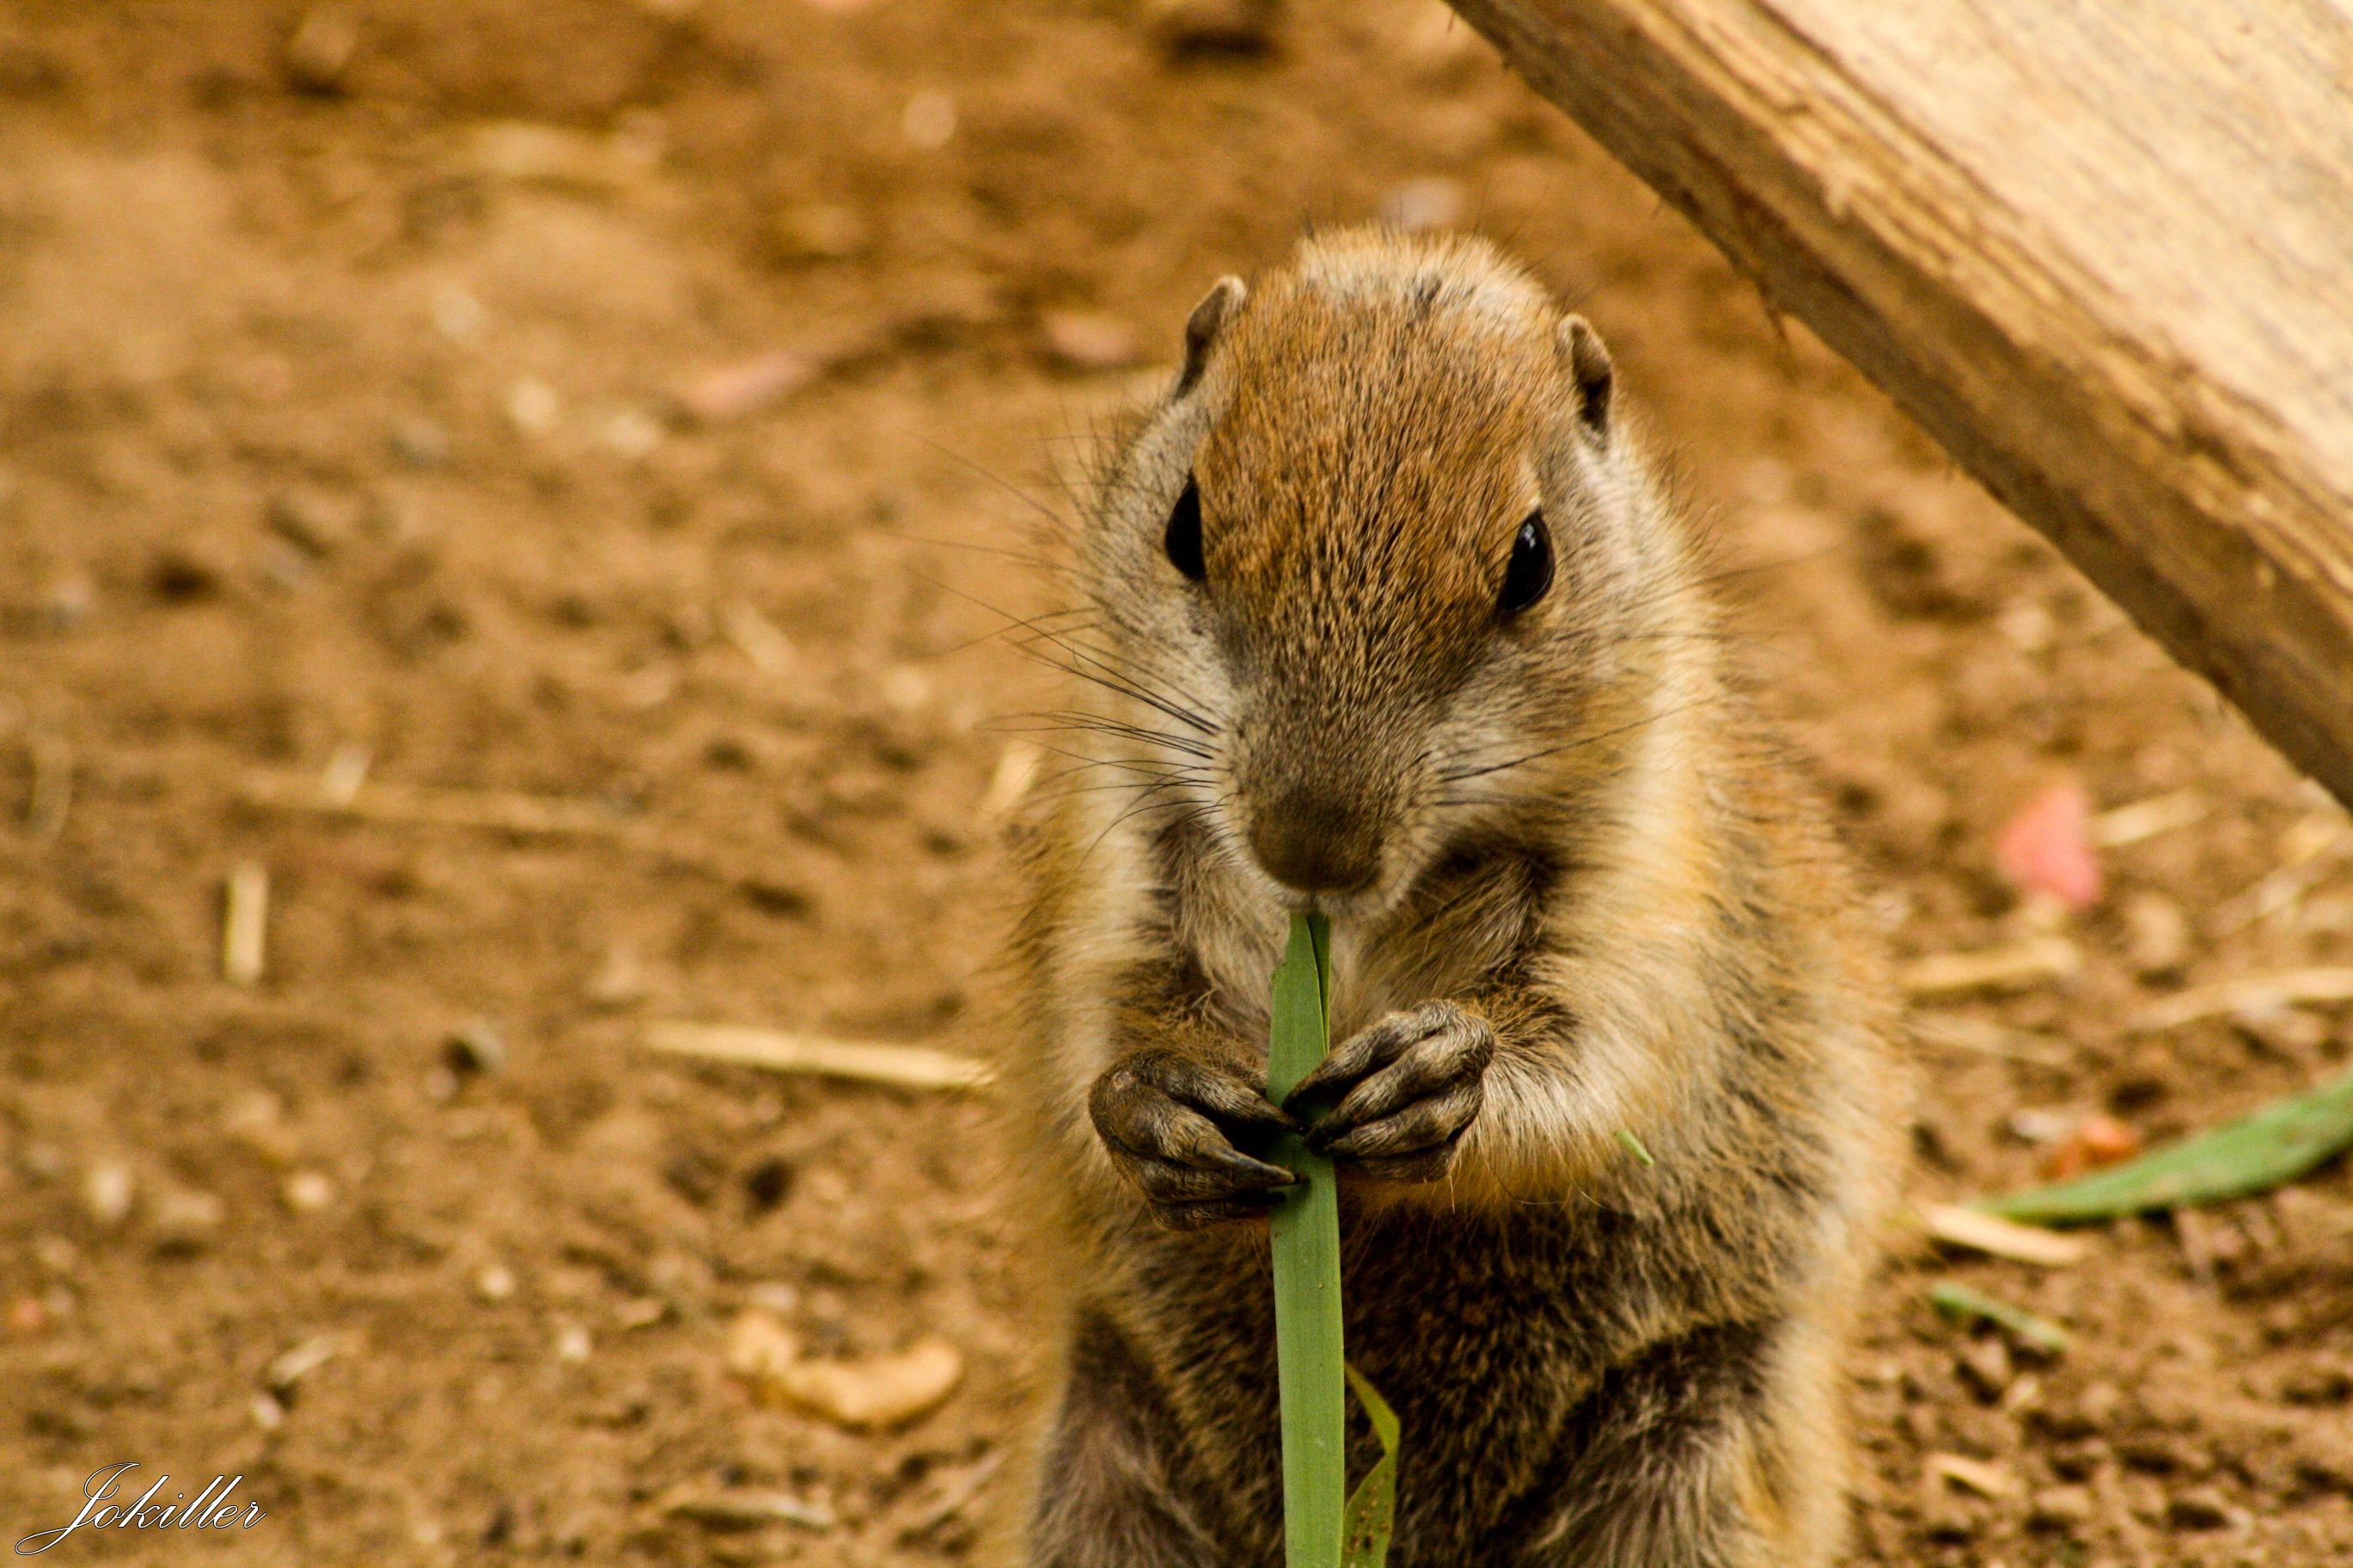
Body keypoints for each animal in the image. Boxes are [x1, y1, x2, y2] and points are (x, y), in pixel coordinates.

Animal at [993, 227, 1892, 1560]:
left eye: (1531, 560)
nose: (1310, 843)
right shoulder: (1108, 869)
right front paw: (1154, 1106)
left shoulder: (1653, 893)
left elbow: (1598, 1062)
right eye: (1185, 525)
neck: (1355, 930)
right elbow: (1087, 1032)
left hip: (1696, 1447)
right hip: (1099, 1439)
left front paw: (1437, 1076)